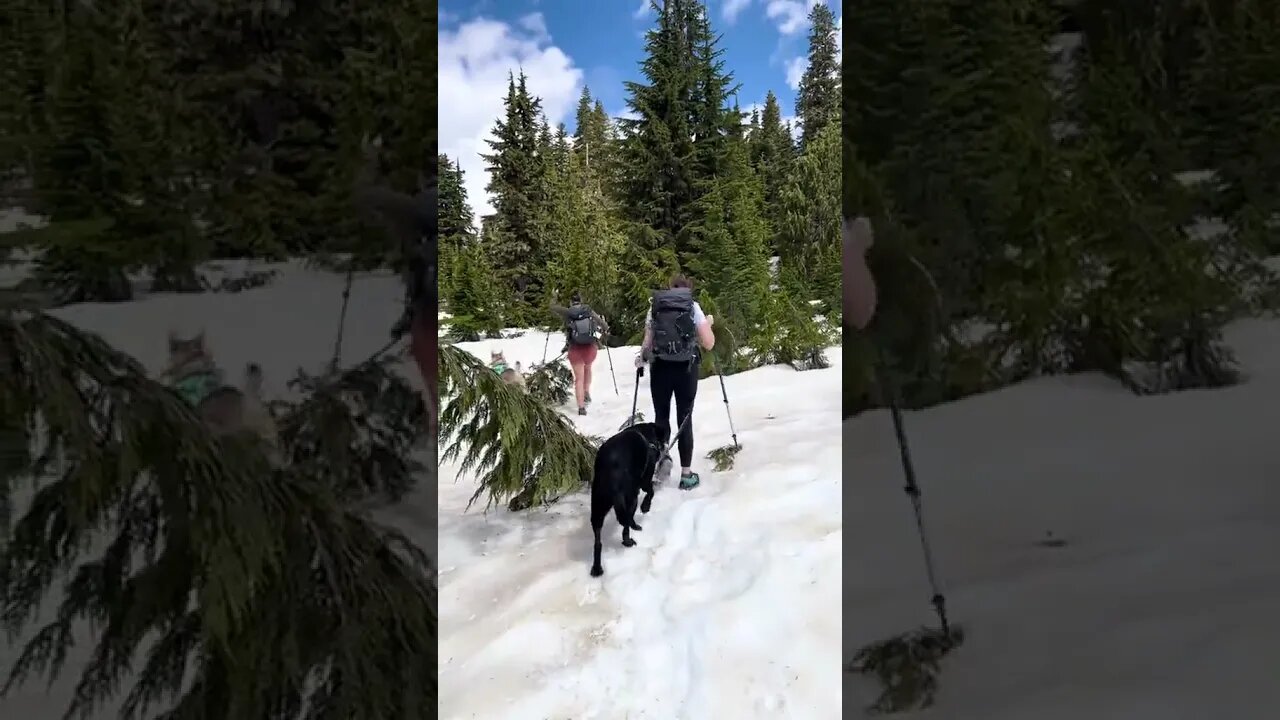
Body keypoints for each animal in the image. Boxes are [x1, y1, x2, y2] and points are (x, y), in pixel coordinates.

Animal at [588, 417, 670, 573]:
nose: (662, 451)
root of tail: (610, 469)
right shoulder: (643, 482)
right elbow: (651, 492)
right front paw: (645, 507)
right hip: (629, 495)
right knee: (627, 522)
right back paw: (629, 539)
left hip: (598, 505)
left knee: (597, 542)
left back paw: (597, 569)